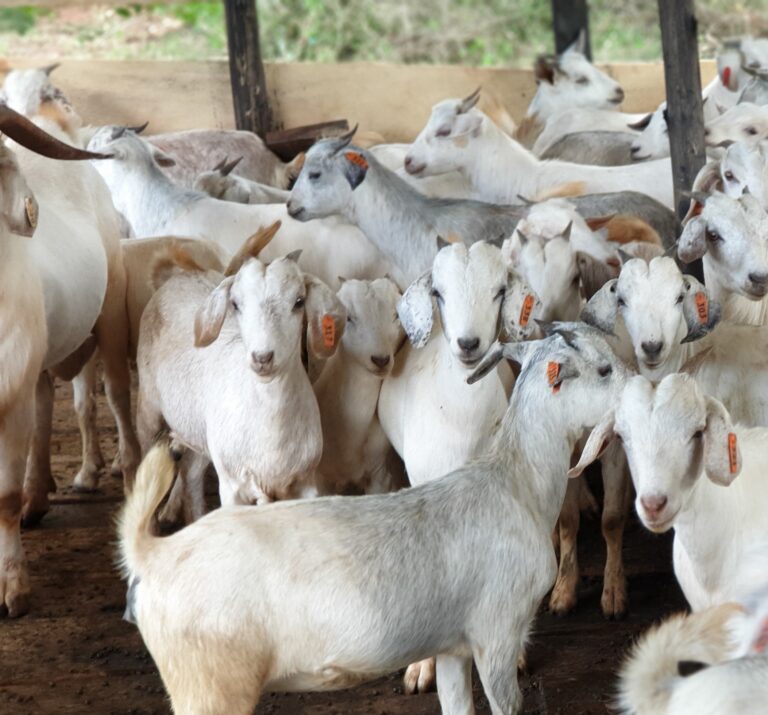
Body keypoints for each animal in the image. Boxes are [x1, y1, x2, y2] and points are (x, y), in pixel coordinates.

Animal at [118, 324, 628, 715]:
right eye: (604, 370)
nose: (637, 385)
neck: (515, 485)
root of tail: (152, 553)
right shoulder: (498, 634)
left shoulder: (454, 646)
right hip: (209, 685)